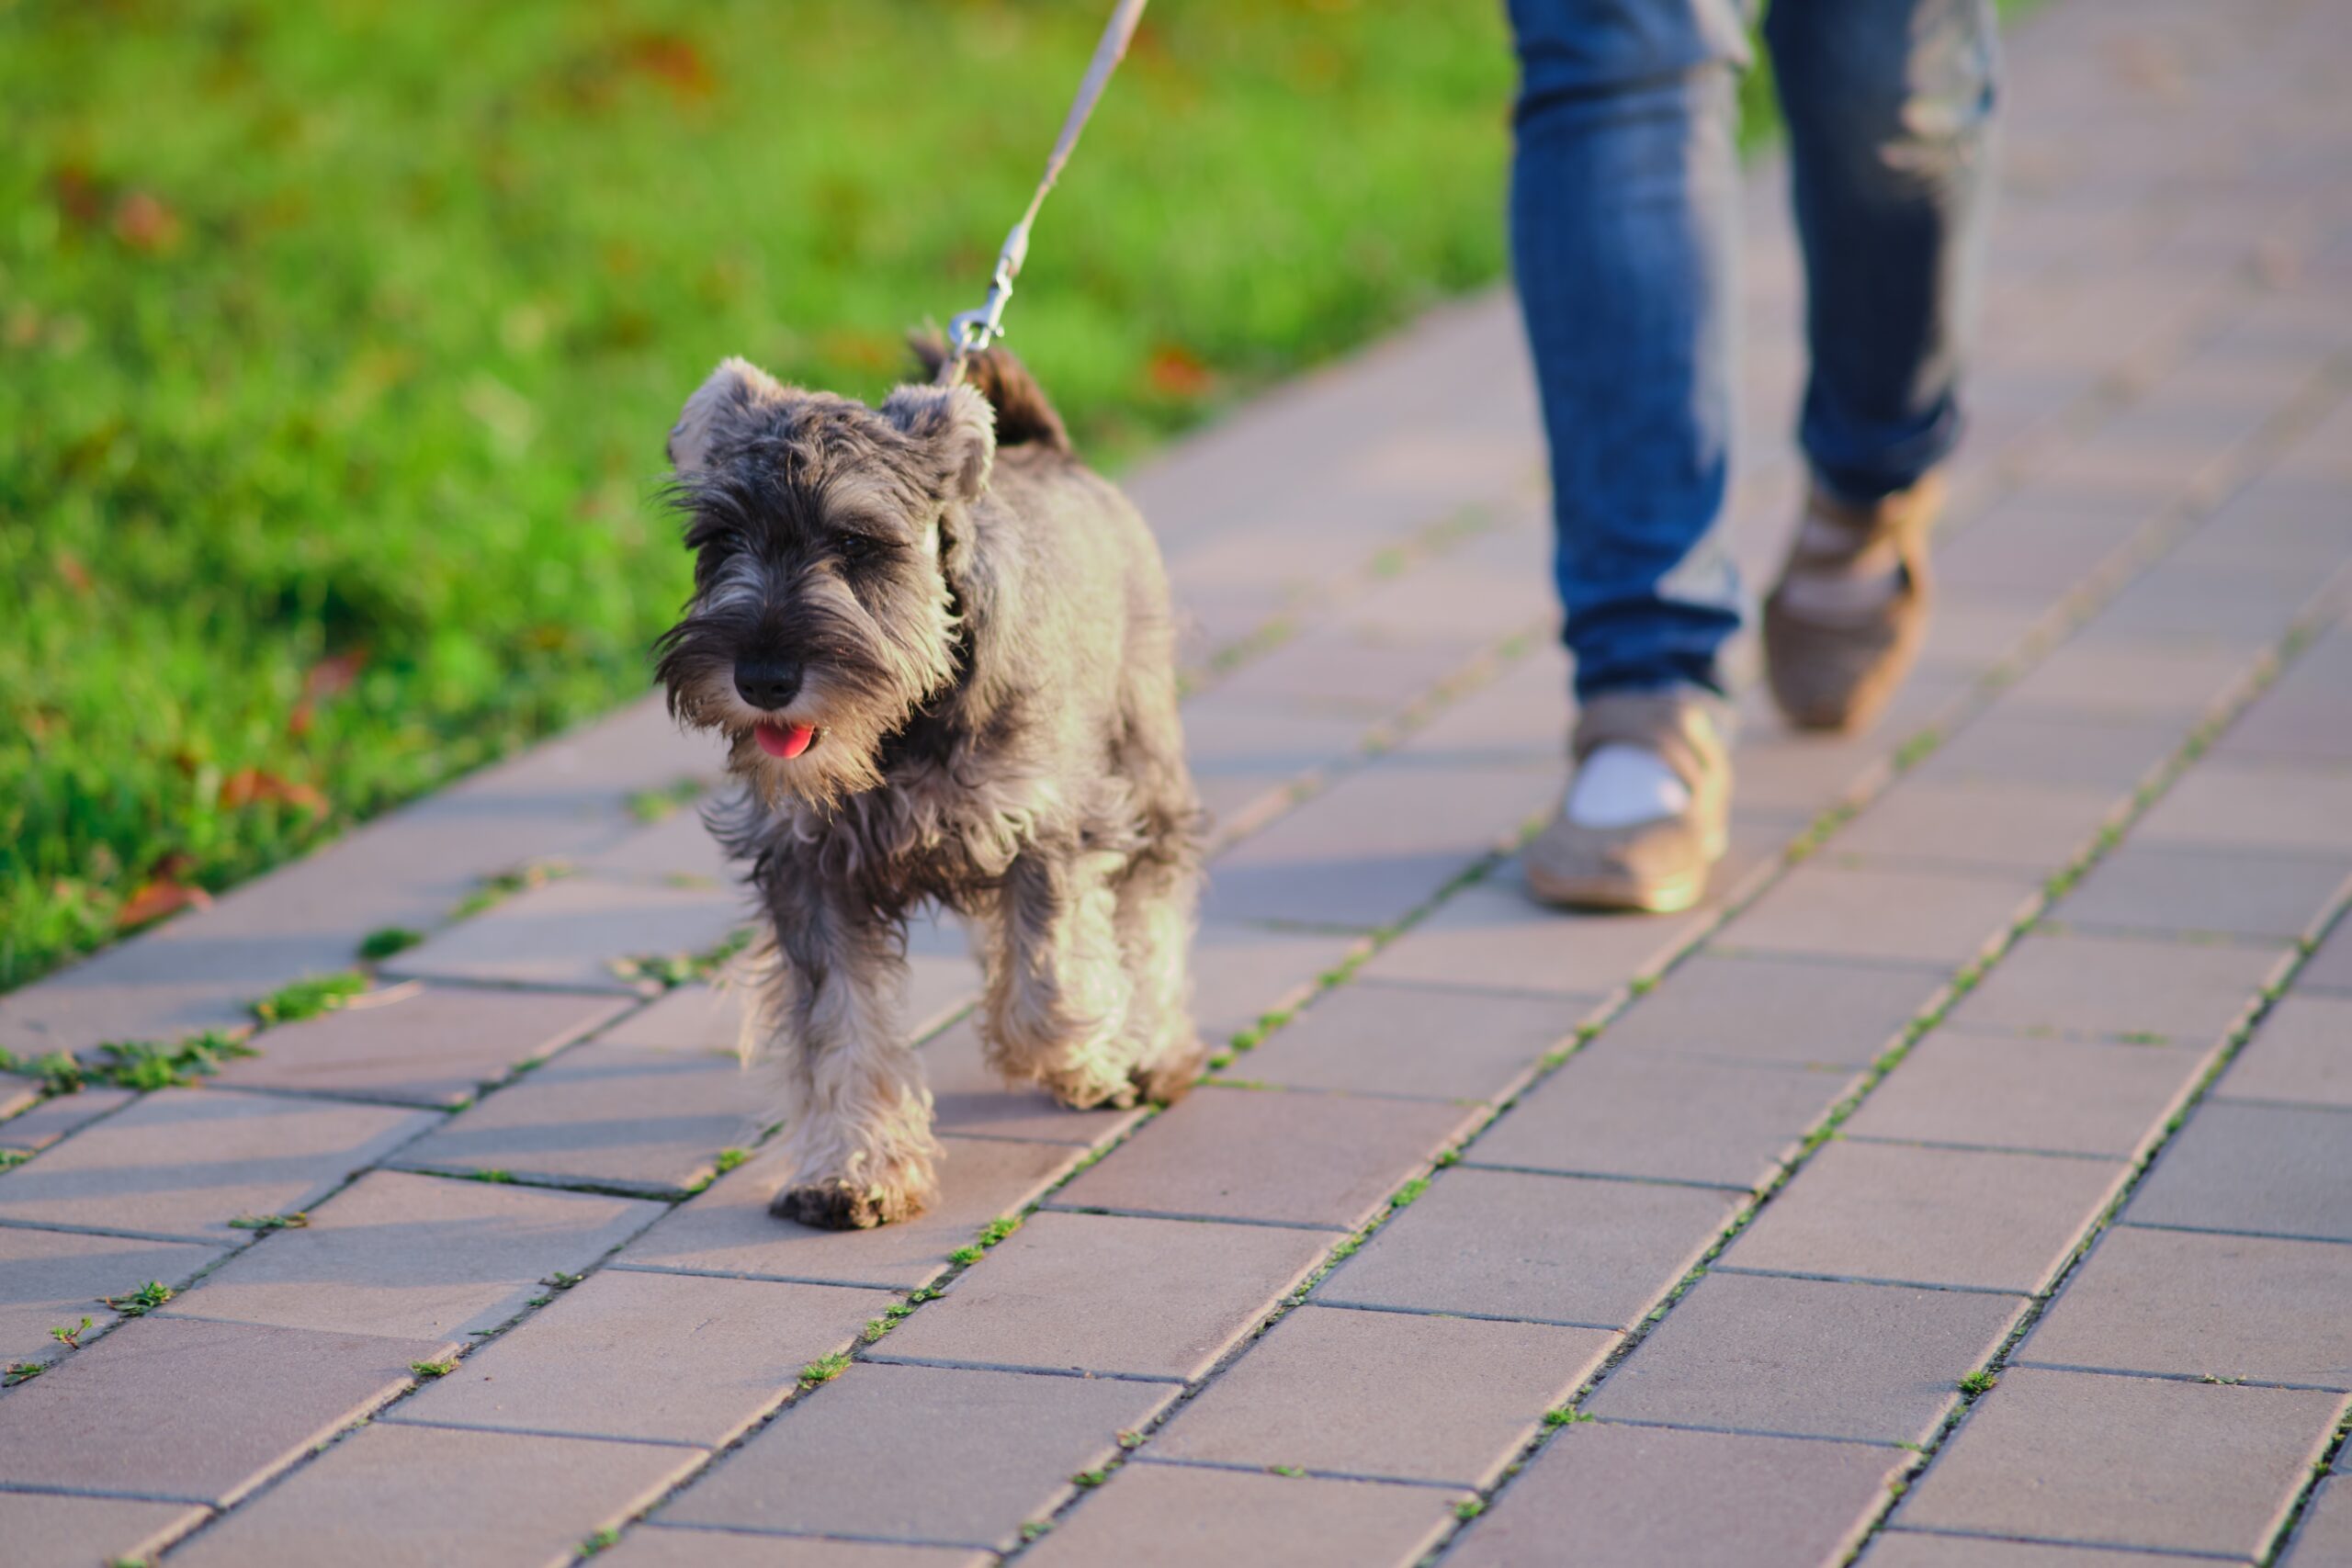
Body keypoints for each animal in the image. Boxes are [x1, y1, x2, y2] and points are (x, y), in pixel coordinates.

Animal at [658, 350, 1194, 1232]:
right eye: (721, 537)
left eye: (856, 540)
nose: (763, 678)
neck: (900, 726)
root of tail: (1048, 448)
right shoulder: (811, 876)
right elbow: (840, 1029)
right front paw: (852, 1168)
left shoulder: (1054, 824)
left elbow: (1045, 986)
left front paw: (1091, 1053)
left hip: (1145, 755)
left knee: (1154, 899)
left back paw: (1154, 1046)